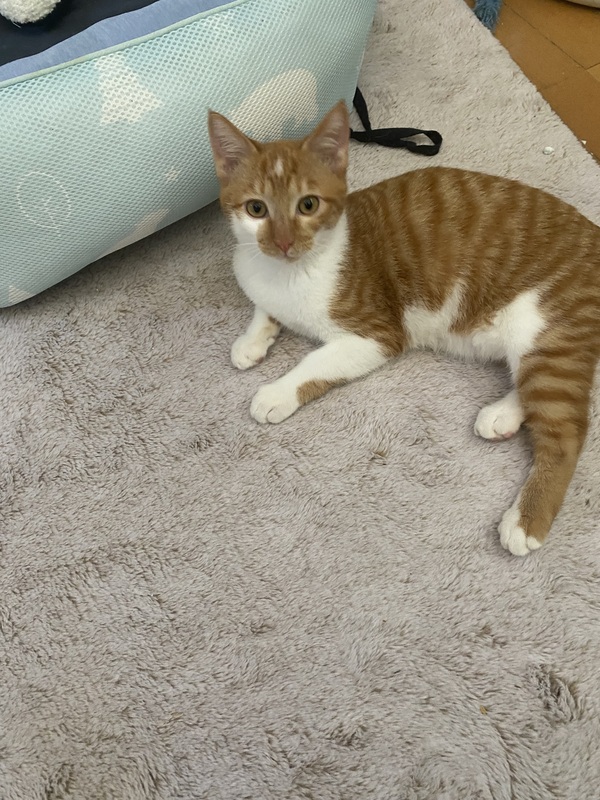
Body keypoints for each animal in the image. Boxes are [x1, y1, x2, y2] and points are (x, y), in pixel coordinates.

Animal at [207, 101, 600, 557]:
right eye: (256, 209)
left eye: (307, 205)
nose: (284, 243)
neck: (288, 272)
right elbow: (263, 308)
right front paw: (251, 340)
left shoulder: (376, 333)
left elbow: (315, 361)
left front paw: (276, 392)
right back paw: (502, 414)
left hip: (546, 327)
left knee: (567, 429)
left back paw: (526, 519)